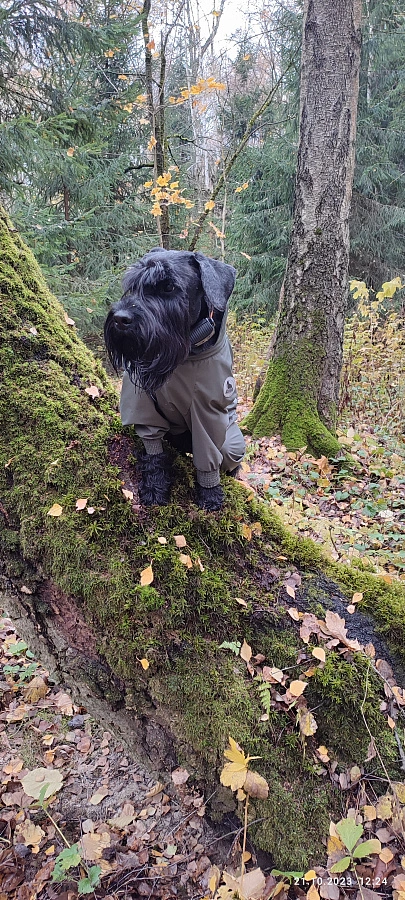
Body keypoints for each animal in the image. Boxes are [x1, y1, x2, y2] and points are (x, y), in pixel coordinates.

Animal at [104, 250, 243, 510]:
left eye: (168, 286)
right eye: (132, 285)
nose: (119, 318)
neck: (186, 355)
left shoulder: (208, 411)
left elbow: (208, 455)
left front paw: (210, 494)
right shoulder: (142, 402)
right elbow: (153, 448)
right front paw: (155, 486)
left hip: (234, 443)